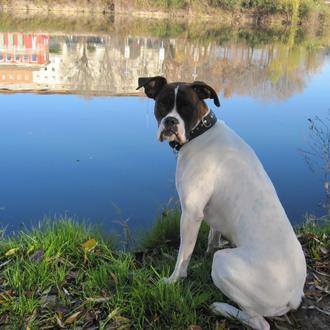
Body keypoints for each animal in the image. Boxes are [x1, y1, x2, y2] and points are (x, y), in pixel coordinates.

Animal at [137, 76, 306, 328]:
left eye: (187, 107)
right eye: (162, 104)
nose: (170, 121)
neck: (201, 133)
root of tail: (294, 294)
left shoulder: (191, 214)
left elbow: (182, 255)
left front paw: (174, 280)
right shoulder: (212, 216)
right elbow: (212, 237)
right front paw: (207, 252)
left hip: (225, 265)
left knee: (259, 321)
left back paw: (221, 308)